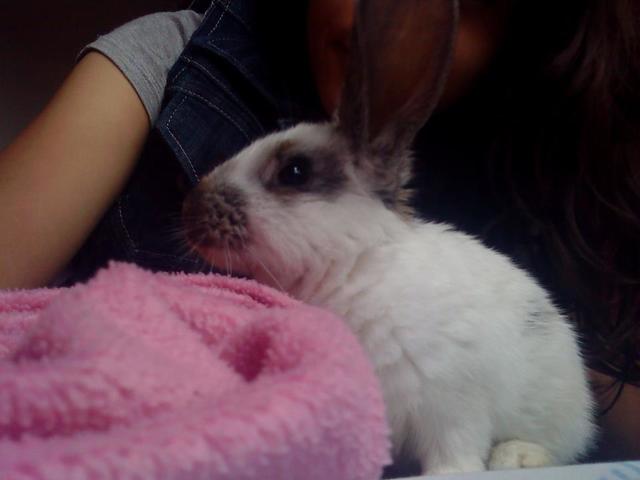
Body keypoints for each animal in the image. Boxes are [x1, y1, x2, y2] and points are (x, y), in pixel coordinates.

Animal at [182, 0, 596, 474]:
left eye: (295, 171)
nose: (189, 208)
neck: (354, 267)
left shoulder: (452, 403)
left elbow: (456, 453)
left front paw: (450, 473)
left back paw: (517, 457)